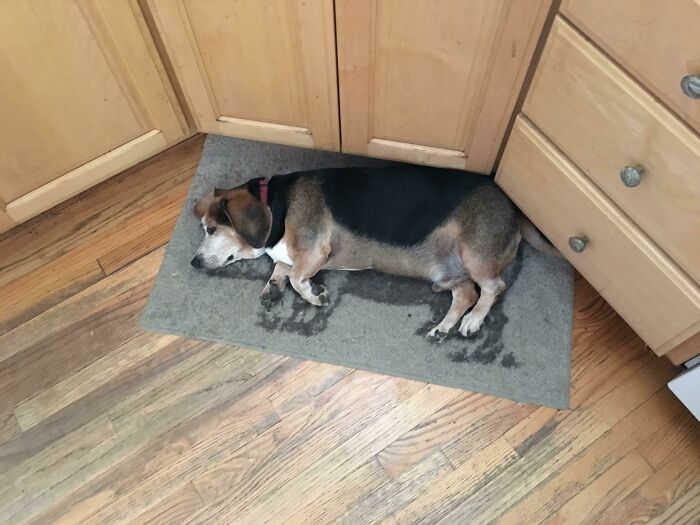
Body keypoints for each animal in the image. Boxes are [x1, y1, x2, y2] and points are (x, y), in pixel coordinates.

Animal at [190, 166, 556, 342]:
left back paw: (473, 321)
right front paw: (272, 286)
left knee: (494, 288)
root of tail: (515, 209)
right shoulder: (292, 252)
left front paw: (314, 295)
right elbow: (281, 266)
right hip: (447, 272)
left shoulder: (314, 248)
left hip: (475, 255)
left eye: (211, 229)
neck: (275, 202)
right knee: (466, 293)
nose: (193, 262)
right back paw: (443, 327)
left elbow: (295, 276)